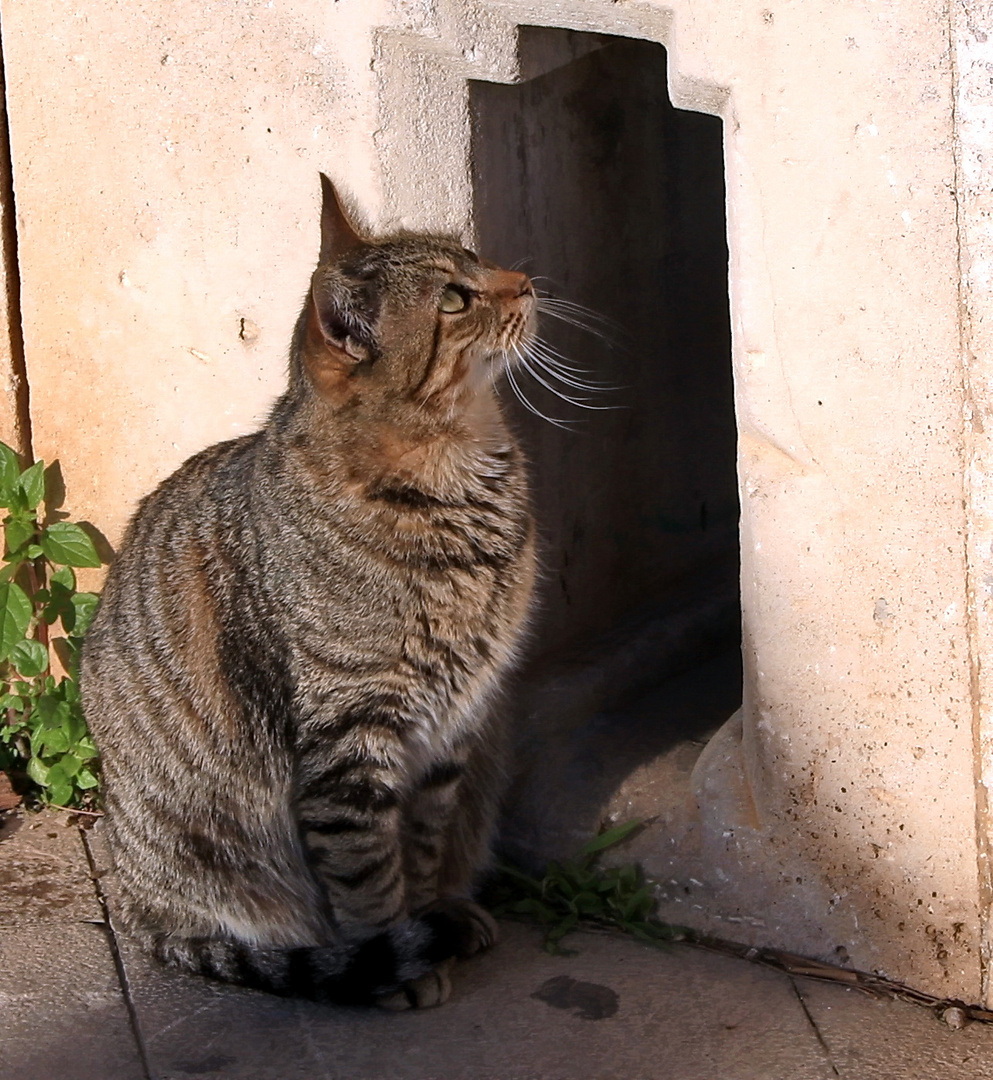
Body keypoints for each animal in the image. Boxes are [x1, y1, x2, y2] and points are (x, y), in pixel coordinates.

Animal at [79, 172, 535, 1006]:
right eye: (455, 299)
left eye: (476, 258)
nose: (524, 280)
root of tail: (129, 901)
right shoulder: (349, 739)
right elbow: (368, 879)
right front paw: (401, 962)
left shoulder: (449, 734)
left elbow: (421, 851)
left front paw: (436, 920)